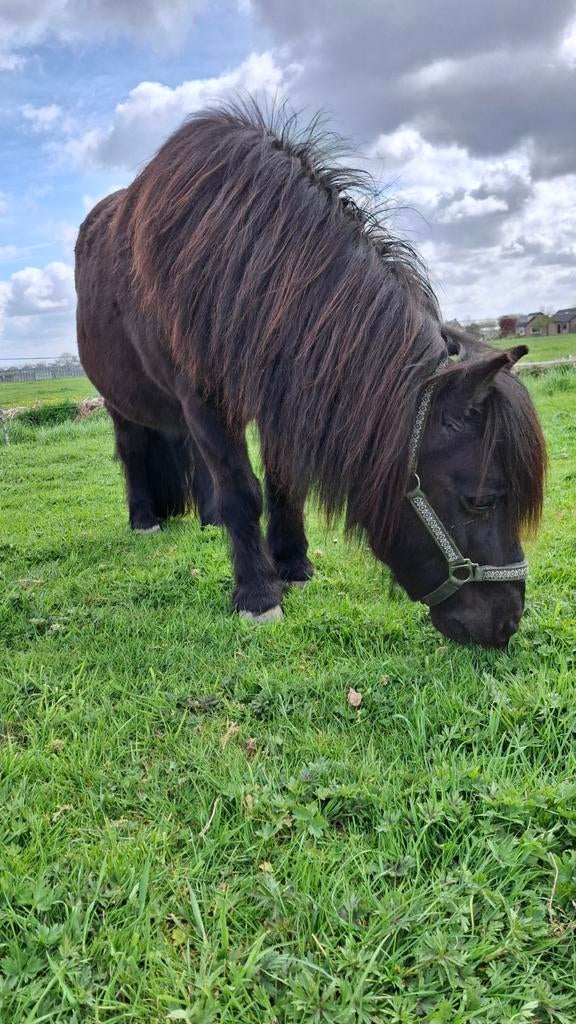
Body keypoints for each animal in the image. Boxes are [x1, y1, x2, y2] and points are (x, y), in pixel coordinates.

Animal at [75, 99, 546, 648]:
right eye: (481, 501)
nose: (506, 622)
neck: (243, 256)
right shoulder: (206, 399)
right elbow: (243, 490)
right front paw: (259, 596)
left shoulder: (282, 393)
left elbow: (285, 484)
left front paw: (293, 565)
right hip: (119, 400)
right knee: (133, 452)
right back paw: (145, 519)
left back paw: (209, 522)